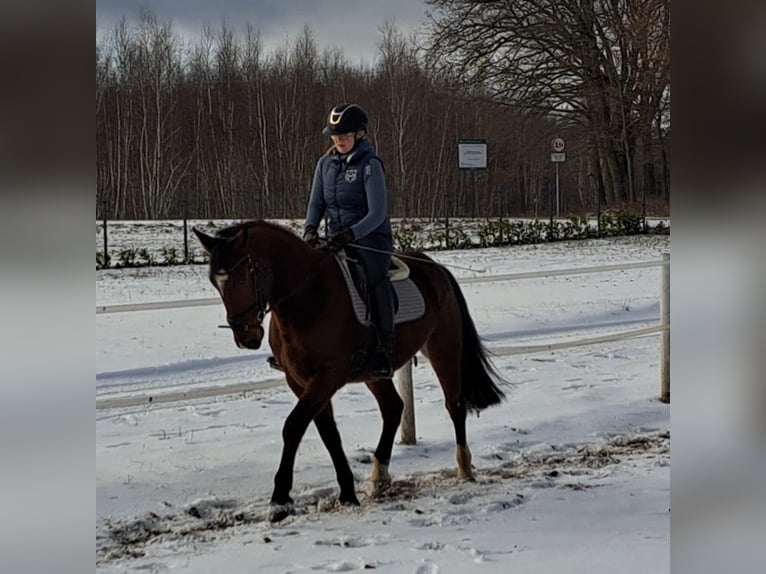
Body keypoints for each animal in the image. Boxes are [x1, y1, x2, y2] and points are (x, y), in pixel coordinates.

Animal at [193, 220, 507, 522]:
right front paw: (346, 492)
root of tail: (436, 267)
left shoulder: (326, 378)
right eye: (214, 283)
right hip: (375, 373)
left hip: (444, 348)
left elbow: (293, 427)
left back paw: (464, 469)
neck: (308, 298)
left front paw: (280, 501)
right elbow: (328, 432)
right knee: (394, 407)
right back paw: (379, 477)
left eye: (241, 278)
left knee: (454, 405)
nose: (246, 337)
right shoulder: (300, 381)